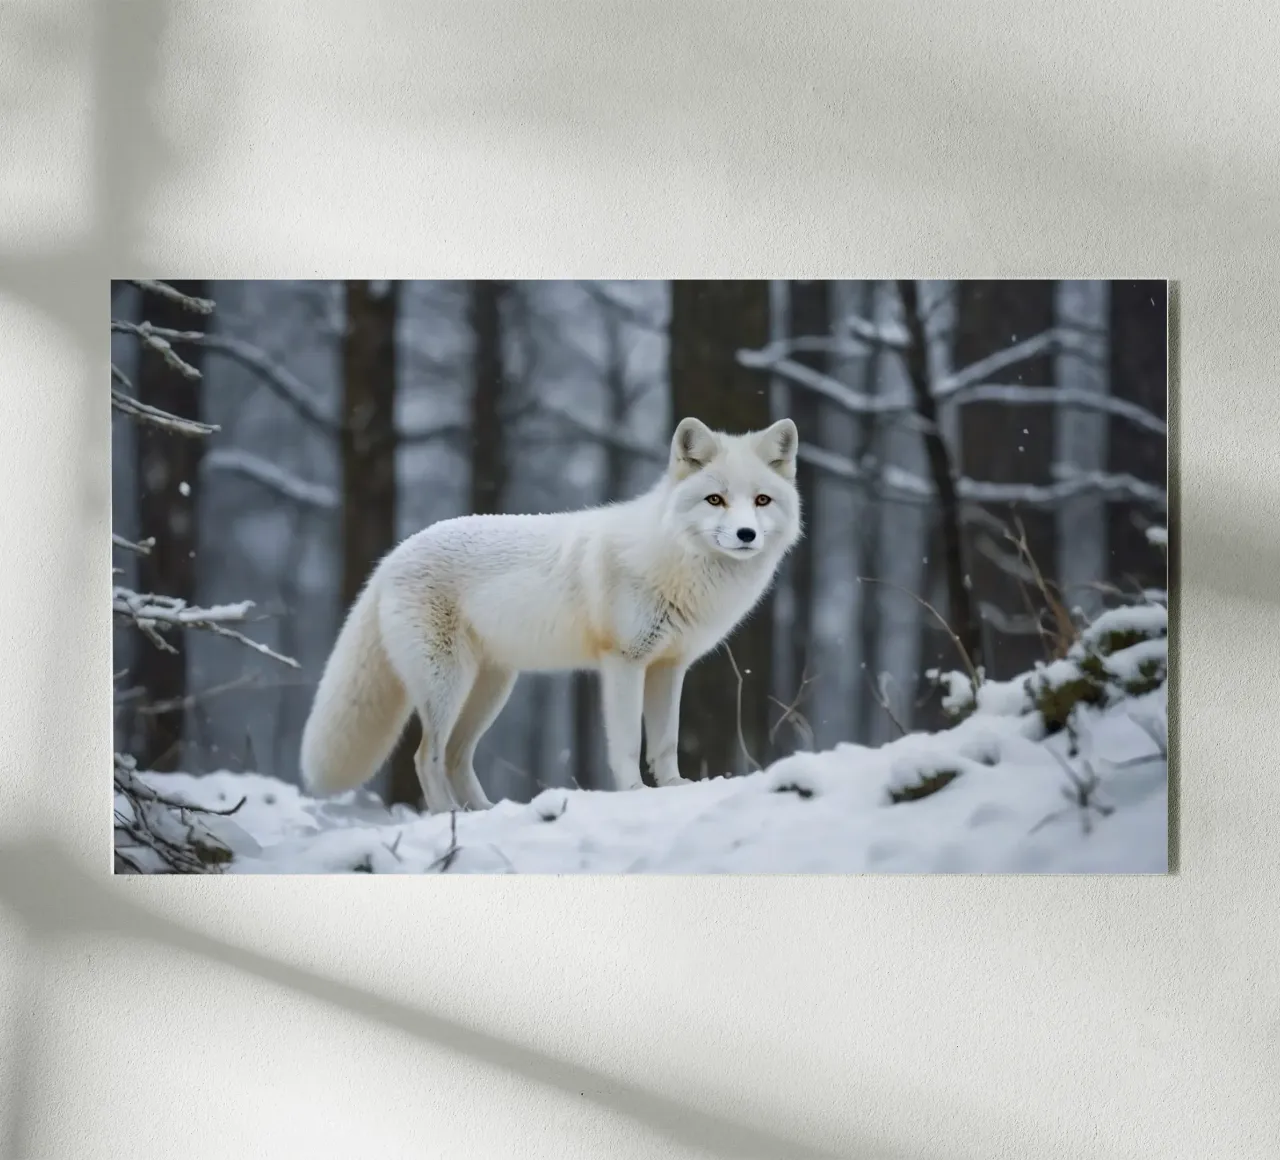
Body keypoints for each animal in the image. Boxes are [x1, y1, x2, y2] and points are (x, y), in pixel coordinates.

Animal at [299, 415, 802, 812]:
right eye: (715, 500)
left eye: (761, 501)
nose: (745, 534)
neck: (672, 561)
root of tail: (392, 556)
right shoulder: (624, 663)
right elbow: (627, 744)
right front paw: (635, 794)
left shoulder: (669, 667)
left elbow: (665, 743)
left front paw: (676, 788)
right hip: (447, 685)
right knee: (427, 757)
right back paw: (449, 817)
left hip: (491, 689)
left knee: (458, 757)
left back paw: (485, 813)